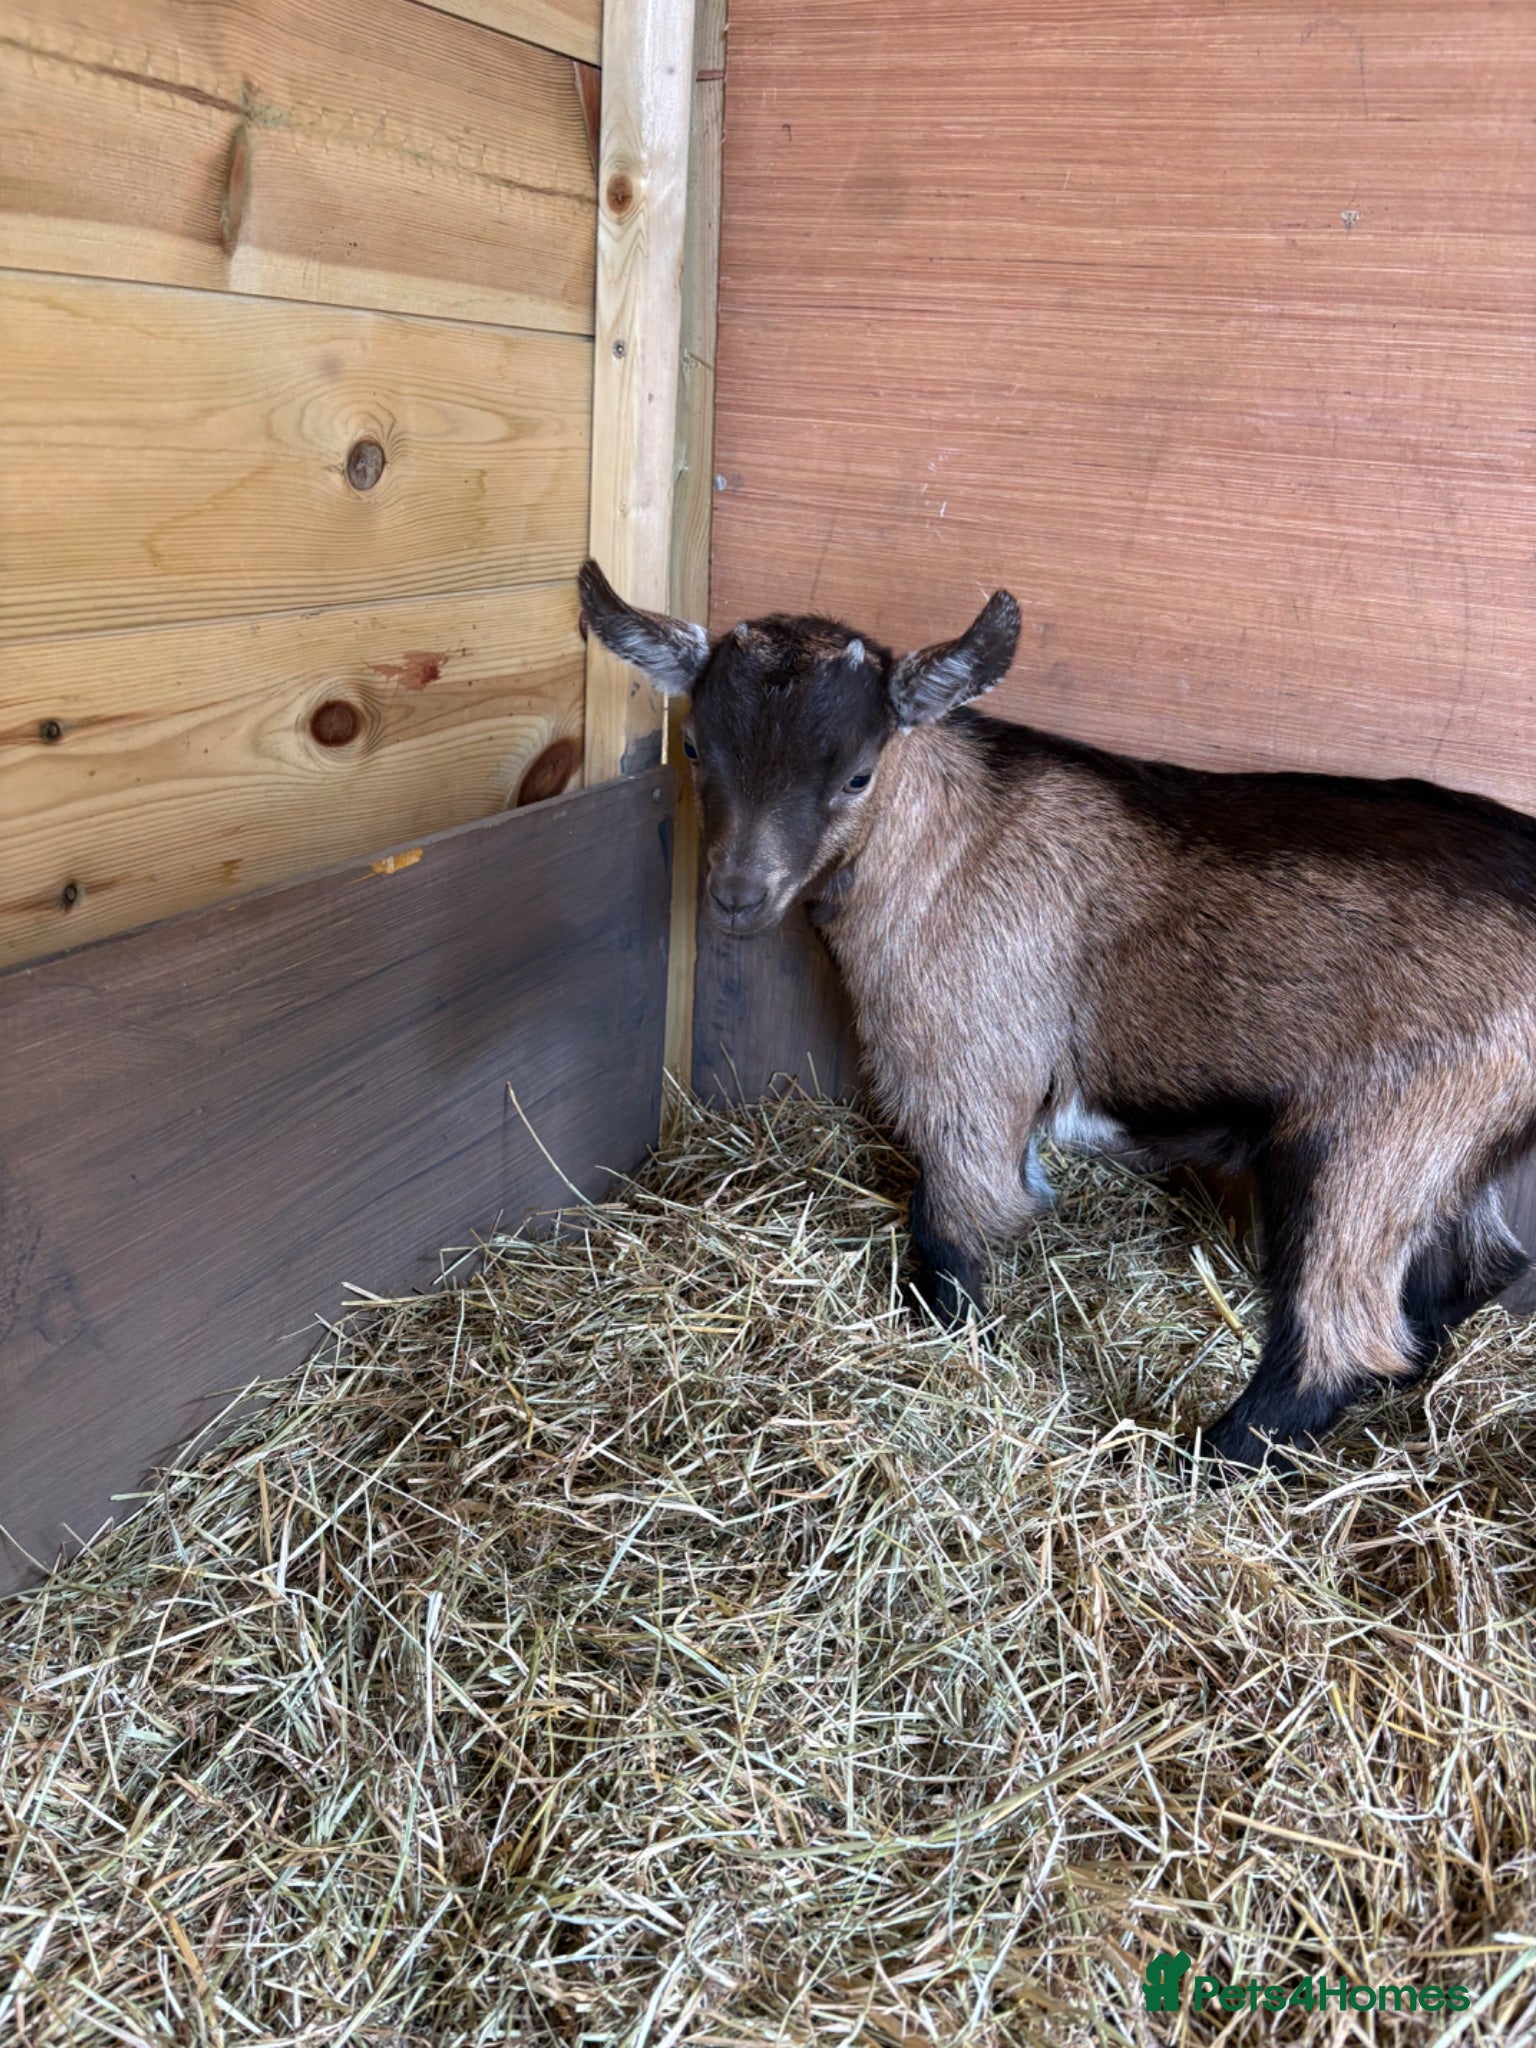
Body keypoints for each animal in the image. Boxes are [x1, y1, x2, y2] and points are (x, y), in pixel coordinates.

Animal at [578, 558, 1536, 1471]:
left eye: (855, 773)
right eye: (694, 746)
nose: (738, 897)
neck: (945, 838)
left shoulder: (970, 1068)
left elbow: (955, 1217)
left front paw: (950, 1345)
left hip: (1372, 1138)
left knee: (1342, 1331)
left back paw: (1200, 1462)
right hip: (1454, 1146)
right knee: (1477, 1268)